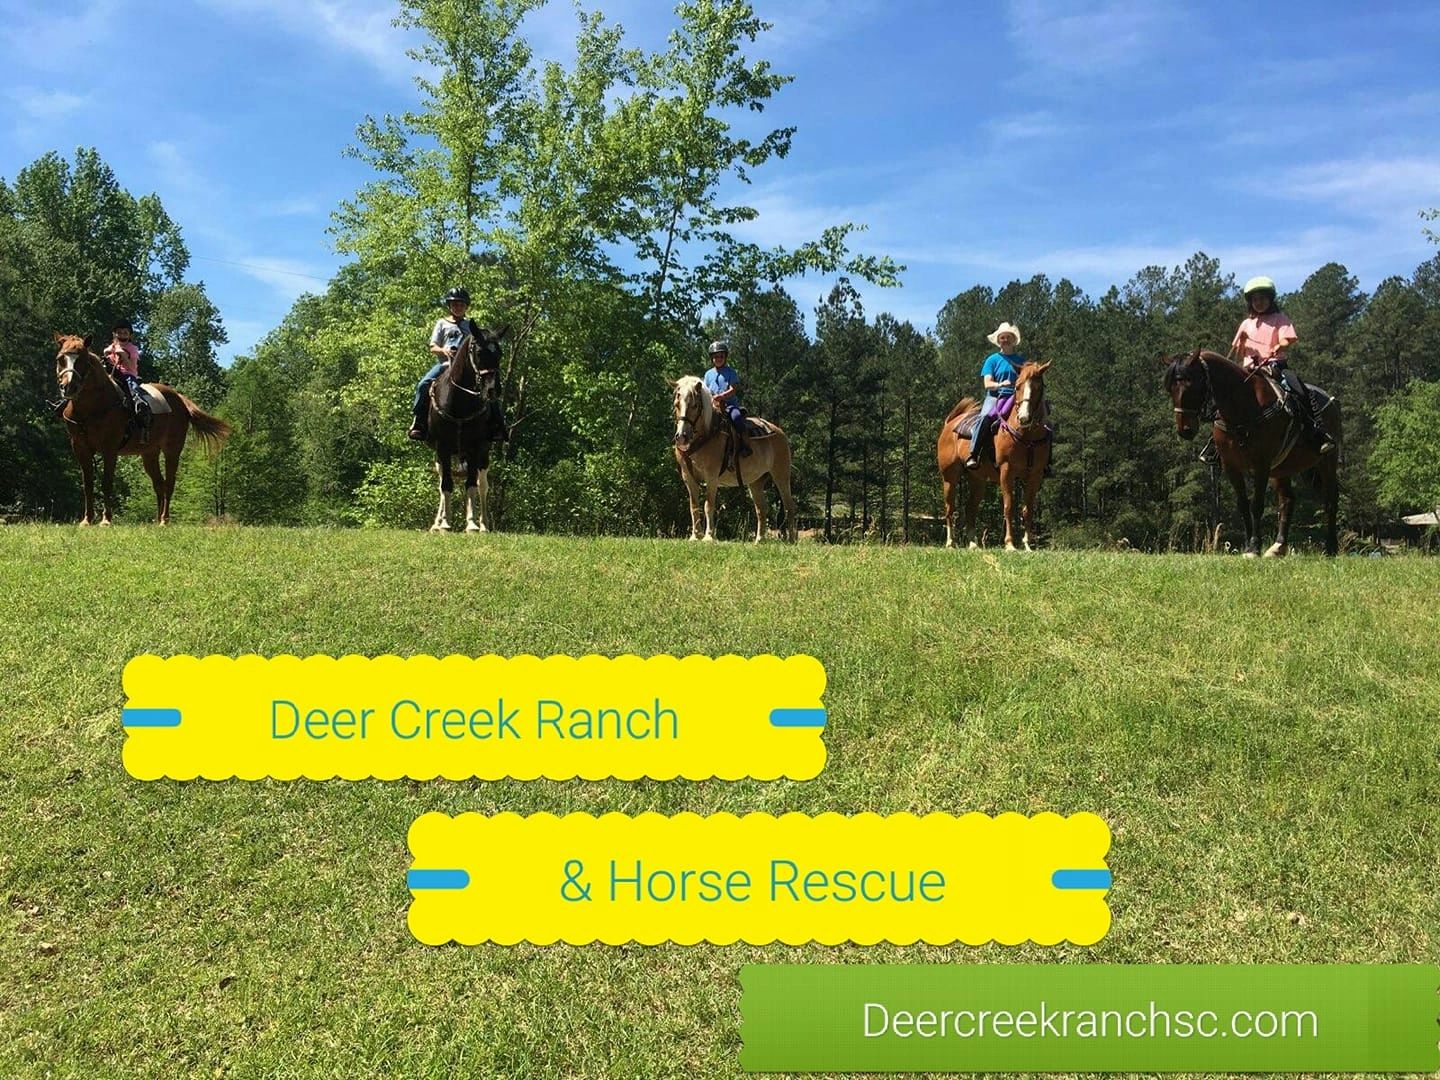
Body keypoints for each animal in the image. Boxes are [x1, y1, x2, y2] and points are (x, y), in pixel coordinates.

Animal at [52, 333, 230, 525]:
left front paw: (106, 520)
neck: (93, 407)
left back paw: (164, 520)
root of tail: (180, 399)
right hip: (149, 453)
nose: (68, 387)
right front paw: (87, 520)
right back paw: (157, 520)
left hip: (172, 450)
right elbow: (88, 483)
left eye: (83, 360)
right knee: (159, 484)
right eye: (60, 359)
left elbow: (106, 482)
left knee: (169, 483)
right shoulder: (80, 447)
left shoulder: (110, 448)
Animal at [425, 325, 507, 533]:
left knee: (482, 485)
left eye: (500, 353)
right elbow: (446, 485)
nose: (493, 390)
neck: (459, 402)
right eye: (478, 352)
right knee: (442, 483)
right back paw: (437, 523)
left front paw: (471, 524)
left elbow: (471, 484)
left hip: (483, 454)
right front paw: (445, 523)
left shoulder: (476, 447)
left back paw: (484, 524)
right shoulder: (442, 448)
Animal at [670, 375, 797, 542]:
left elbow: (708, 505)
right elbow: (694, 506)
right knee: (761, 508)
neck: (706, 435)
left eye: (695, 405)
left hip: (781, 475)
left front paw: (709, 536)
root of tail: (779, 432)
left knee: (789, 506)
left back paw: (792, 539)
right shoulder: (688, 477)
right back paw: (759, 539)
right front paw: (695, 536)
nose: (682, 437)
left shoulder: (711, 477)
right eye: (676, 404)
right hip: (756, 481)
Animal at [936, 361, 1052, 551]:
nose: (1024, 418)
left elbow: (1028, 509)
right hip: (949, 477)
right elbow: (1008, 506)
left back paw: (973, 543)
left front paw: (1027, 545)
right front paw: (1010, 544)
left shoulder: (1035, 475)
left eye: (1038, 387)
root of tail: (950, 423)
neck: (1027, 436)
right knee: (949, 509)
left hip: (977, 480)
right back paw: (950, 542)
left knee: (970, 509)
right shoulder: (1007, 471)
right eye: (1017, 386)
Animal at [1162, 349, 1341, 558]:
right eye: (1170, 389)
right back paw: (1278, 546)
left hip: (1327, 462)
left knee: (1330, 500)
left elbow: (1256, 505)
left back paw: (1330, 547)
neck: (1242, 408)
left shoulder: (1261, 465)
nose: (1185, 430)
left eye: (1193, 385)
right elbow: (1243, 505)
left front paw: (1255, 546)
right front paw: (1249, 545)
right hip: (1282, 469)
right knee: (1288, 500)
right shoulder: (1231, 466)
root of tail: (1330, 401)